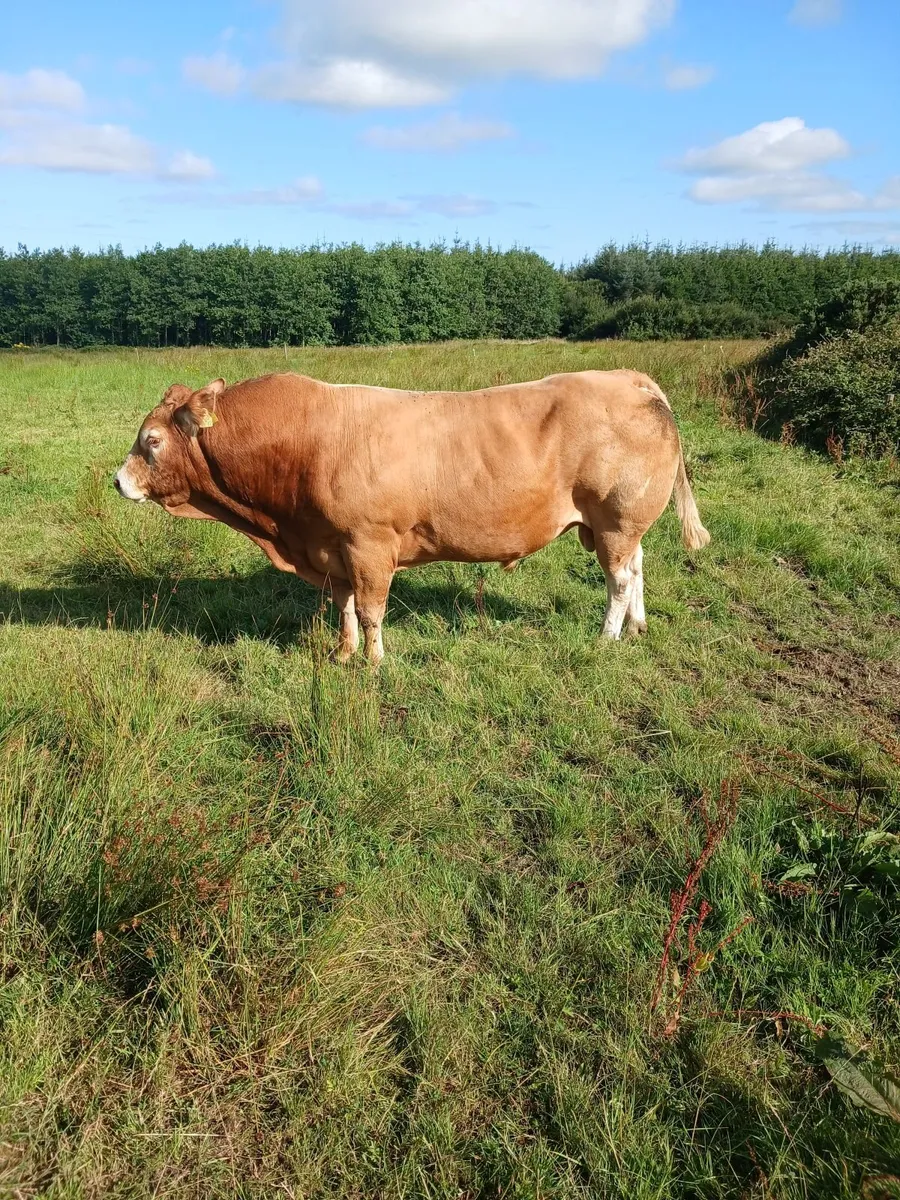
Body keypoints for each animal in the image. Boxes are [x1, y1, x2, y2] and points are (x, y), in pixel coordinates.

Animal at [114, 369, 710, 664]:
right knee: (637, 567)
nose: (118, 480)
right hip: (623, 523)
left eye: (151, 440)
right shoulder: (333, 546)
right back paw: (636, 627)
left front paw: (375, 664)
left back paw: (608, 638)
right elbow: (345, 607)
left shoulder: (370, 544)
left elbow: (372, 608)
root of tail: (629, 378)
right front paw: (344, 653)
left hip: (614, 517)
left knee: (619, 579)